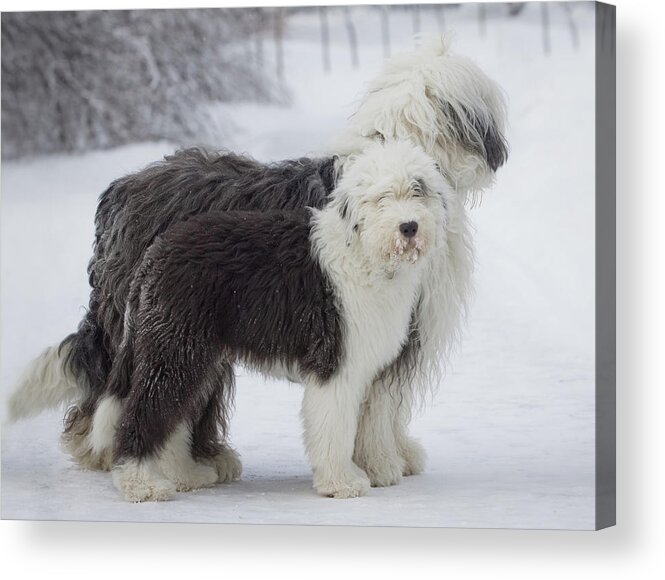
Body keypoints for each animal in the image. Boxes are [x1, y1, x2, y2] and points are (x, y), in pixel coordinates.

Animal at [7, 37, 506, 494]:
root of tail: (120, 191)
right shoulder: (378, 330)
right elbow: (379, 405)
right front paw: (382, 464)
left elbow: (380, 403)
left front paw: (395, 456)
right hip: (165, 330)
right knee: (126, 395)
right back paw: (119, 458)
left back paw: (189, 463)